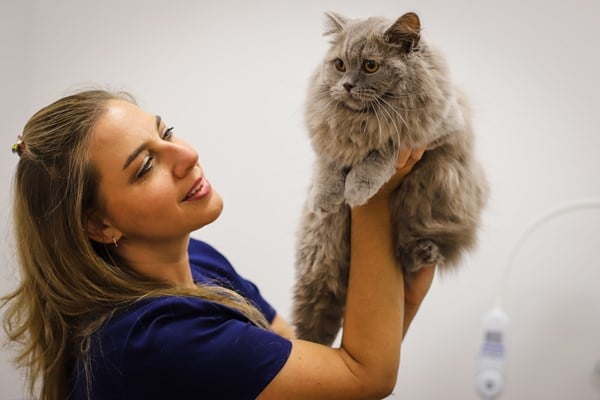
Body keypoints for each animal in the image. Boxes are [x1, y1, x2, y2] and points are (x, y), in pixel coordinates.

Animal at [292, 11, 489, 345]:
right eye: (340, 64)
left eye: (370, 66)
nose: (346, 85)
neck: (362, 120)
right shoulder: (330, 136)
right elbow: (329, 162)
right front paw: (327, 196)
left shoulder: (437, 128)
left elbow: (386, 148)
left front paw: (358, 187)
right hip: (319, 251)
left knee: (409, 256)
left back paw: (423, 253)